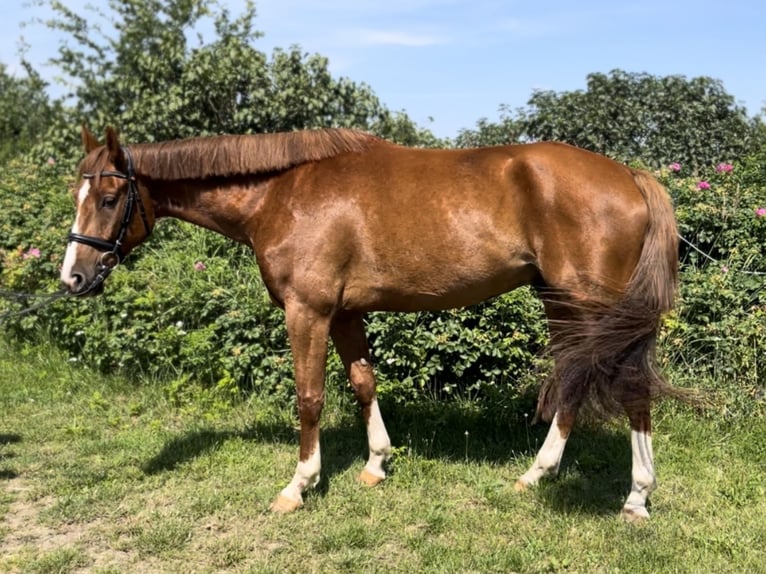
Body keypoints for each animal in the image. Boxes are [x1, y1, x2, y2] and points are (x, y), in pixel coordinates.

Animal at [58, 126, 684, 520]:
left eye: (110, 197)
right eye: (77, 194)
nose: (73, 278)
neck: (281, 192)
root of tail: (629, 175)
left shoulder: (307, 310)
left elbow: (309, 396)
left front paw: (298, 486)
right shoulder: (345, 312)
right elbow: (363, 382)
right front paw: (376, 465)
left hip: (601, 309)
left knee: (632, 389)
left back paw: (636, 499)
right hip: (562, 302)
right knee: (575, 380)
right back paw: (536, 474)